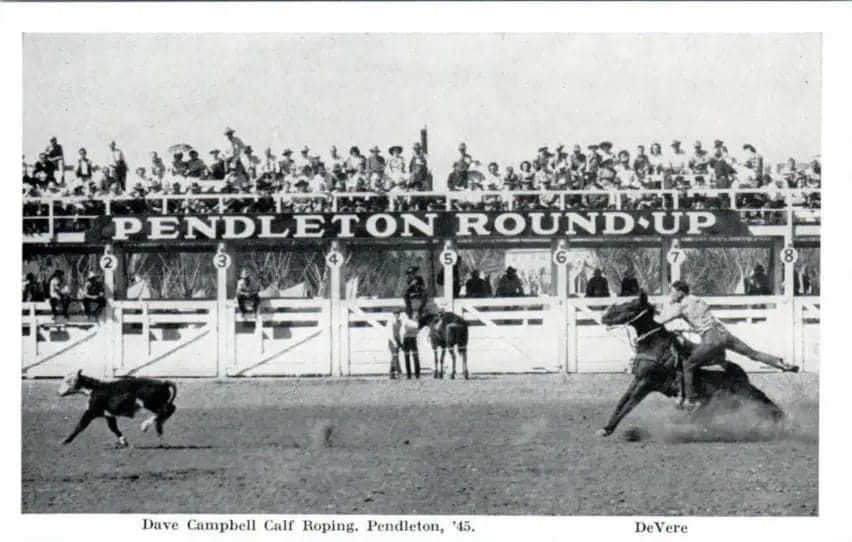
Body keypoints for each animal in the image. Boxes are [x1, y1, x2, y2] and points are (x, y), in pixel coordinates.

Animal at [596, 294, 784, 438]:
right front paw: (607, 427)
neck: (653, 346)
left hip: (740, 398)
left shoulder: (647, 382)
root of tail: (742, 379)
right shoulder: (637, 379)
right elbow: (622, 401)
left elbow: (629, 405)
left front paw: (608, 429)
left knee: (767, 406)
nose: (604, 316)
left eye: (630, 307)